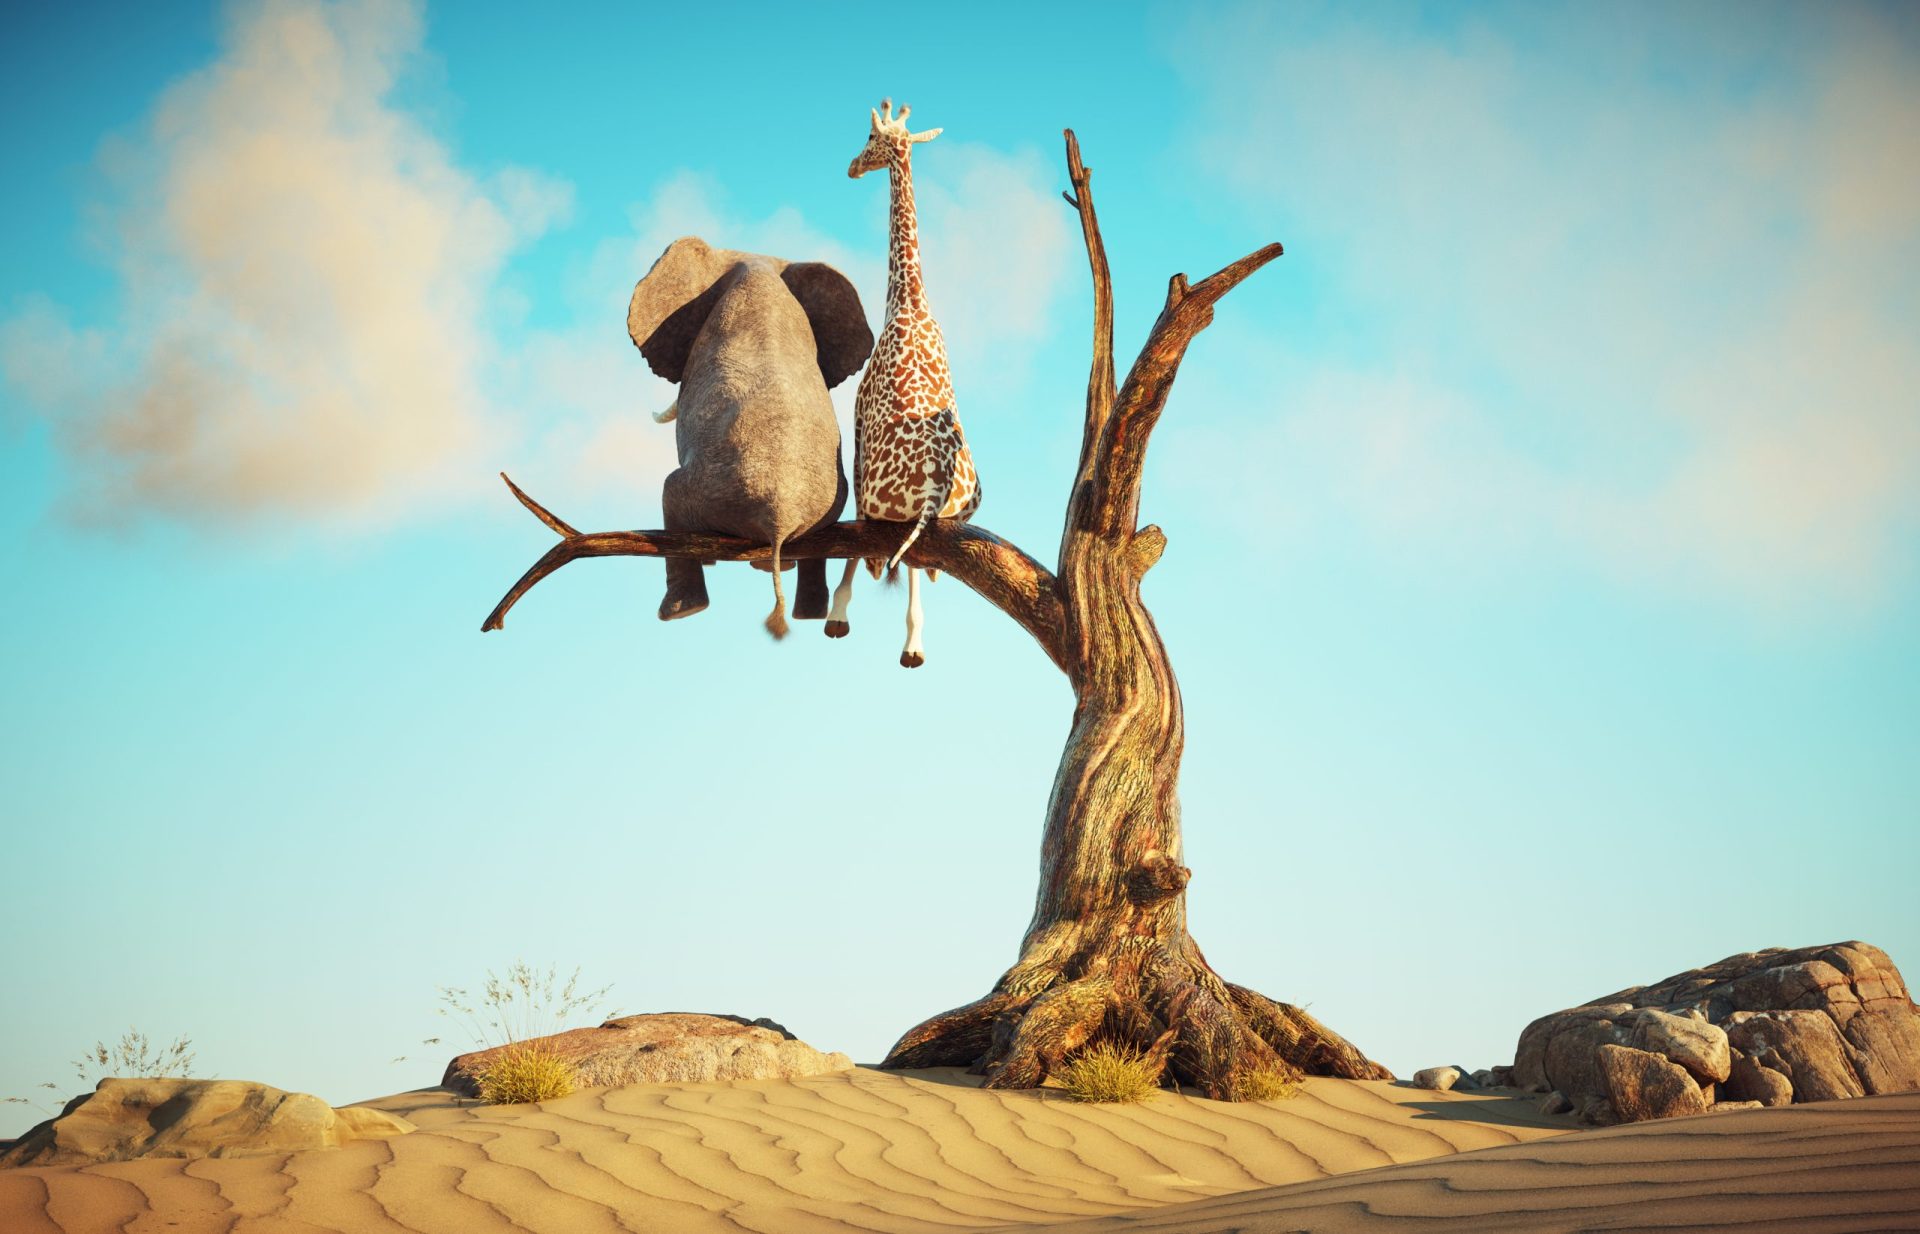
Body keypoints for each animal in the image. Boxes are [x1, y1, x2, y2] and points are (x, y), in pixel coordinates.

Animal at [826, 99, 982, 669]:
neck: (907, 301)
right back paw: (913, 645)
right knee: (918, 556)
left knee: (881, 546)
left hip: (882, 501)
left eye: (871, 136)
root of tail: (936, 486)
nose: (852, 165)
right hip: (951, 512)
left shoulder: (856, 425)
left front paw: (839, 612)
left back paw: (852, 621)